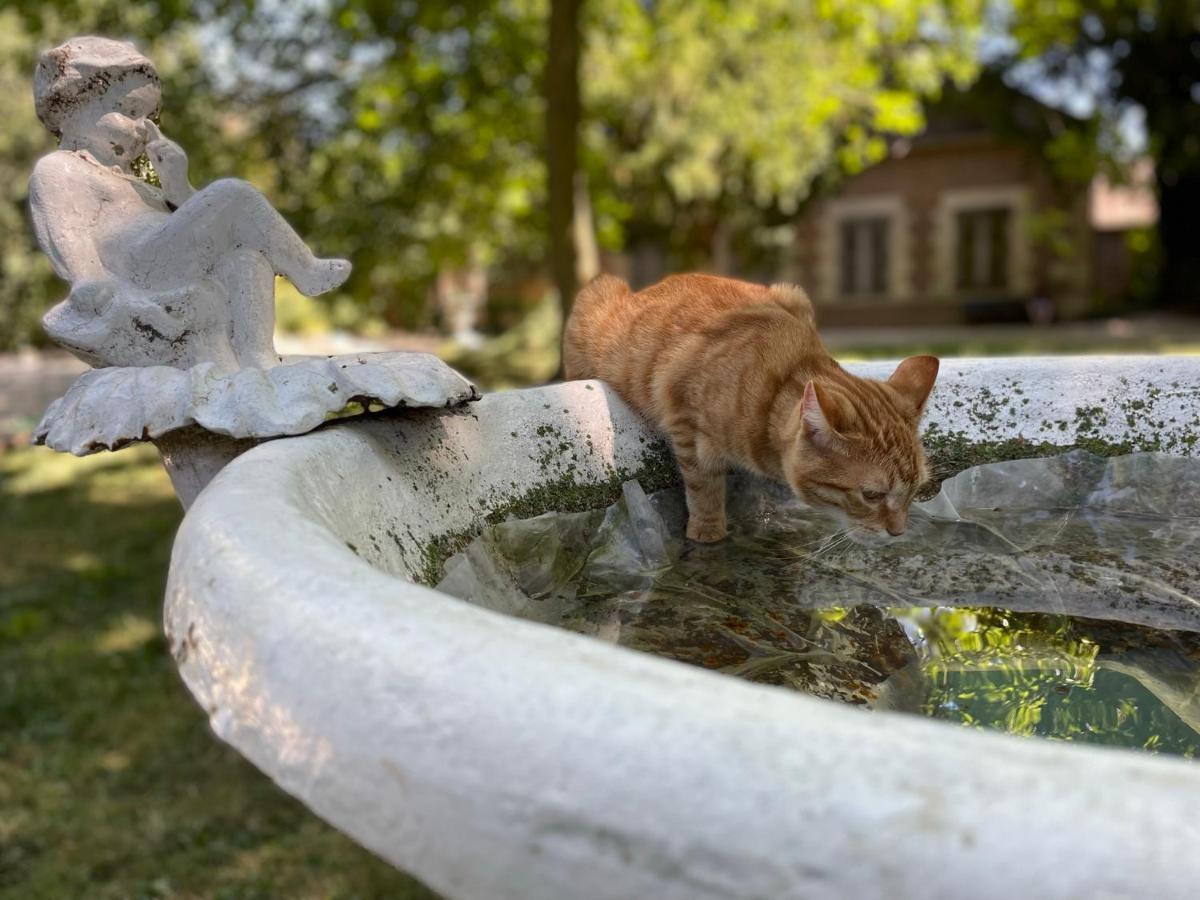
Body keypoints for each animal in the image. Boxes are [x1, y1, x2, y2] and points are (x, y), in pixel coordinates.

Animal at [559, 274, 936, 542]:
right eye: (872, 495)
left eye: (915, 491)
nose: (898, 532)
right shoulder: (684, 417)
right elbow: (703, 485)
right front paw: (708, 529)